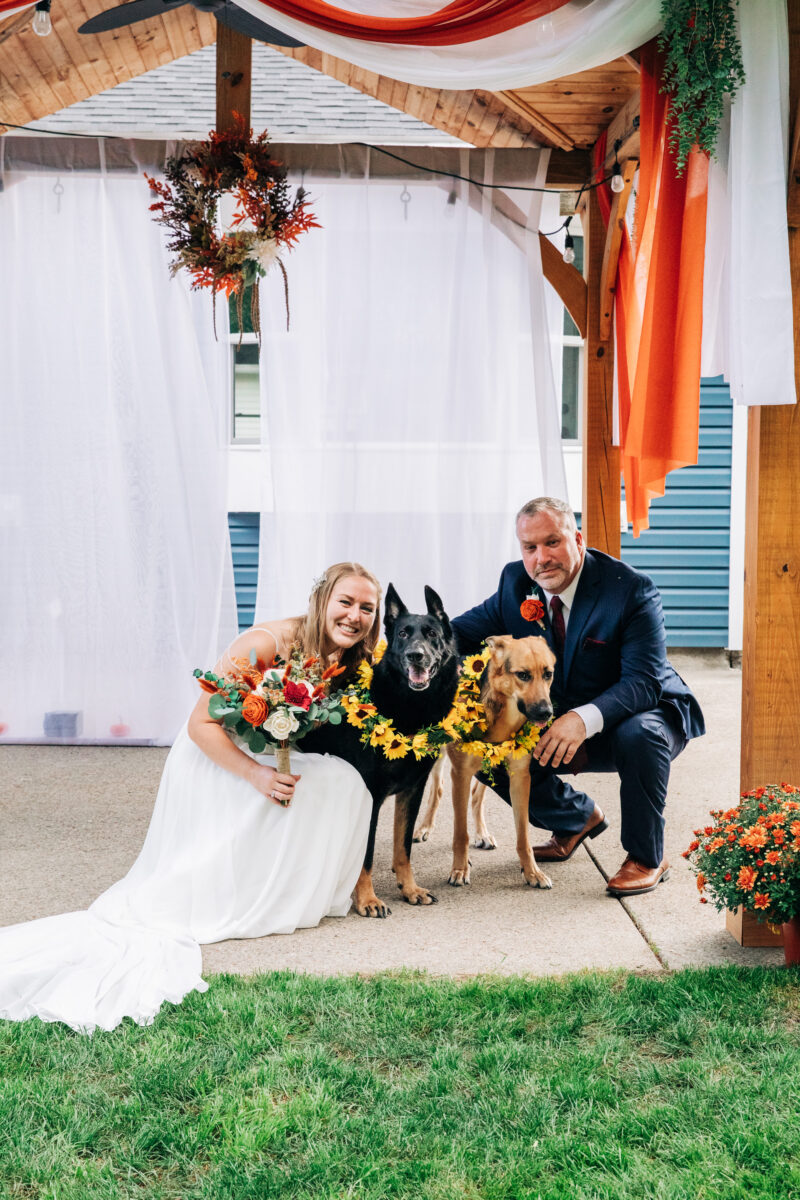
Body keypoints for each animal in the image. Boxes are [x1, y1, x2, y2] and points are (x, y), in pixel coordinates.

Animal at [412, 643, 556, 888]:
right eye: (523, 675)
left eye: (548, 674)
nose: (546, 713)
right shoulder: (460, 773)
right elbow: (460, 833)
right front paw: (460, 869)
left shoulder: (520, 776)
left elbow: (523, 835)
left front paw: (532, 872)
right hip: (435, 750)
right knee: (438, 788)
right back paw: (424, 828)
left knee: (476, 796)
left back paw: (482, 834)